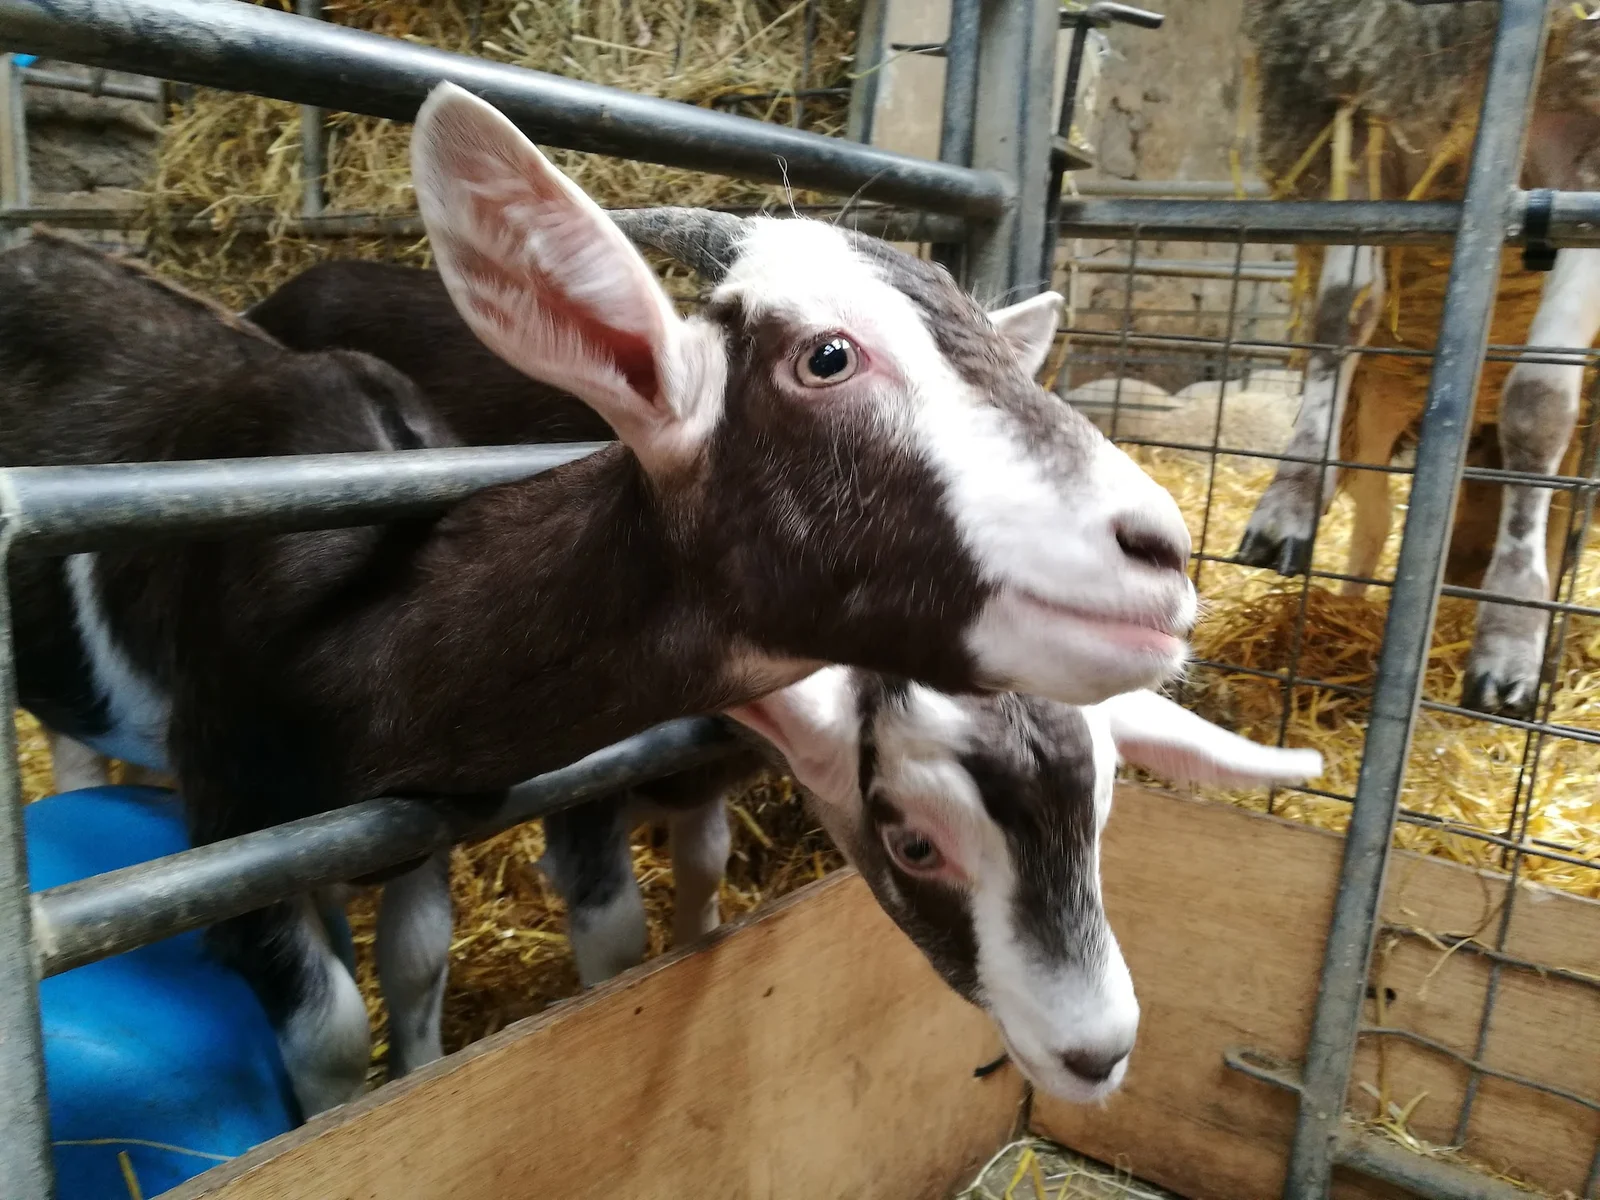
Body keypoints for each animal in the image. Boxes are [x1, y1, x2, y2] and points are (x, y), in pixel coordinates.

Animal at [1, 82, 1199, 1118]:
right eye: (826, 358)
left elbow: (428, 962)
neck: (342, 636)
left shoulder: (428, 822)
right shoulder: (237, 828)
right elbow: (345, 1028)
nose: (1164, 555)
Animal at [1235, 0, 1600, 716]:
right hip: (1384, 403)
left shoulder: (1584, 149)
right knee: (1376, 520)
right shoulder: (1357, 99)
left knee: (1561, 524)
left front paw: (1509, 636)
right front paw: (1289, 504)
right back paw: (1346, 605)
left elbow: (1539, 400)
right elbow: (1341, 316)